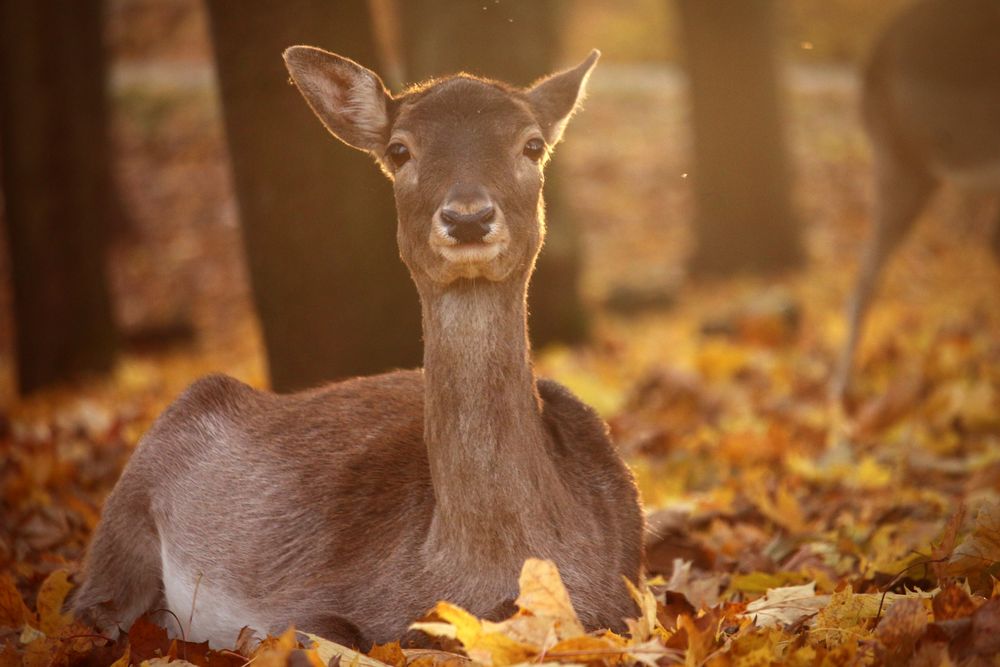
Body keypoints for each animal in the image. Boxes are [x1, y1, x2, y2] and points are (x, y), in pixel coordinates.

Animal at [74, 48, 644, 652]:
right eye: (399, 149)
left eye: (532, 144)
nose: (467, 217)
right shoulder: (304, 600)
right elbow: (326, 633)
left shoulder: (622, 600)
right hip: (125, 514)